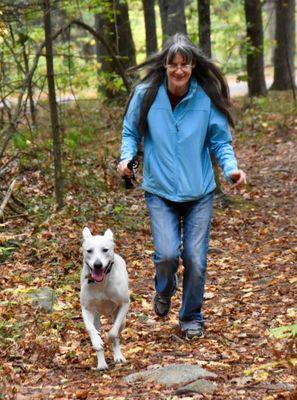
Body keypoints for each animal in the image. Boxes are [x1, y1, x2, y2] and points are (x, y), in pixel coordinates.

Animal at [80, 227, 130, 370]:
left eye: (105, 250)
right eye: (89, 250)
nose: (97, 264)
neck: (101, 284)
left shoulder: (124, 304)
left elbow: (113, 333)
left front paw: (110, 338)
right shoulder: (86, 308)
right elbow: (90, 328)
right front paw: (97, 342)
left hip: (121, 319)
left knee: (118, 331)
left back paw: (118, 356)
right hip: (97, 317)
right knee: (96, 328)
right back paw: (101, 363)